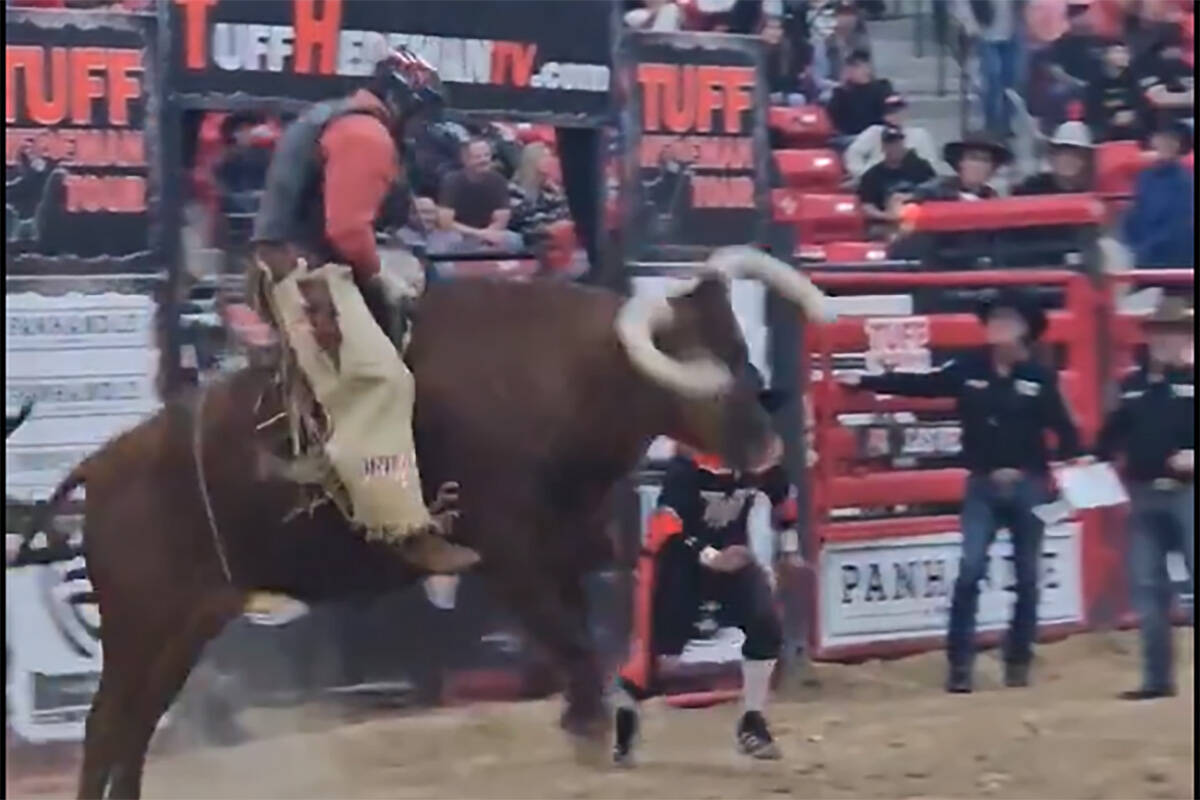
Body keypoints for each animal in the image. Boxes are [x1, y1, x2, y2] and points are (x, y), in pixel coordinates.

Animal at [32, 247, 830, 796]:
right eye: (700, 366)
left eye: (742, 350)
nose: (766, 451)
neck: (561, 372)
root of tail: (100, 468)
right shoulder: (512, 558)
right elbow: (573, 645)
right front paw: (588, 729)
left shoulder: (561, 553)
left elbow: (576, 639)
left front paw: (583, 725)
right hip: (140, 625)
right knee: (107, 725)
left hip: (182, 628)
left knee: (135, 728)